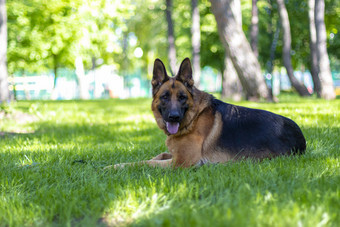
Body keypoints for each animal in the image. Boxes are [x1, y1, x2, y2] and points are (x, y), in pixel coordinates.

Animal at [107, 57, 306, 169]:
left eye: (182, 97)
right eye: (164, 97)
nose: (174, 117)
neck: (193, 118)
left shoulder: (181, 162)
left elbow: (144, 163)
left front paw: (114, 166)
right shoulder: (174, 156)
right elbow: (158, 155)